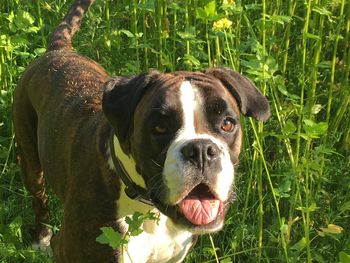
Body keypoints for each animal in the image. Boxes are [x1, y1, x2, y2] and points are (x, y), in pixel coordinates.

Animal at [12, 0, 270, 262]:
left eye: (227, 124)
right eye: (160, 127)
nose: (200, 150)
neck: (149, 210)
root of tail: (58, 50)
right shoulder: (68, 250)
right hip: (30, 159)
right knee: (39, 197)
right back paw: (41, 237)